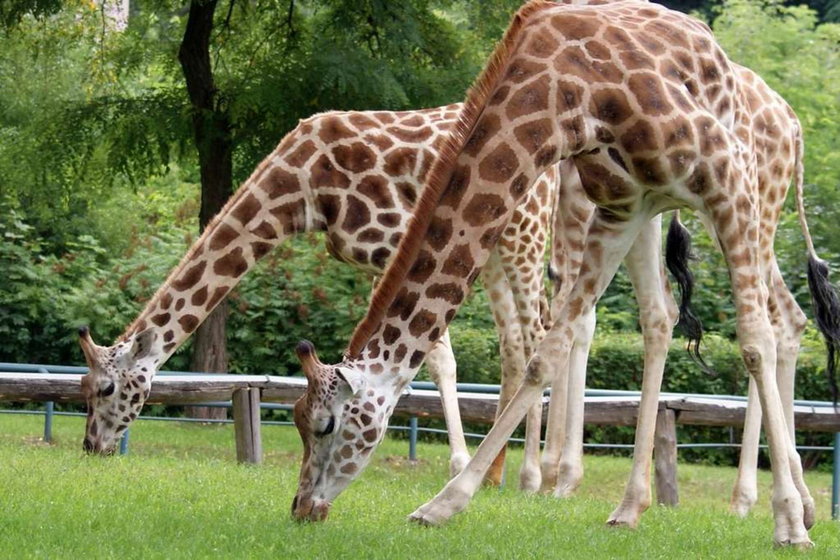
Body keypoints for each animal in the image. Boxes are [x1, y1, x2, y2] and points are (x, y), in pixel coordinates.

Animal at [75, 101, 556, 486]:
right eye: (81, 386)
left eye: (105, 389)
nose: (91, 446)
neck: (302, 187)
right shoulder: (375, 258)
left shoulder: (402, 242)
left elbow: (433, 357)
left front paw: (455, 464)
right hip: (496, 248)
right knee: (518, 341)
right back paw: (502, 474)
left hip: (525, 234)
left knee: (539, 335)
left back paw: (538, 477)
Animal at [290, 0, 840, 544]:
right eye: (295, 418)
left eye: (326, 425)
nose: (302, 508)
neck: (567, 99)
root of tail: (793, 122)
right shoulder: (621, 208)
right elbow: (547, 353)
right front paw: (445, 504)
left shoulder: (723, 178)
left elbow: (752, 343)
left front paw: (789, 523)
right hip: (657, 210)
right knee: (661, 317)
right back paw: (633, 506)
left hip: (755, 199)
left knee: (777, 324)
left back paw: (771, 504)